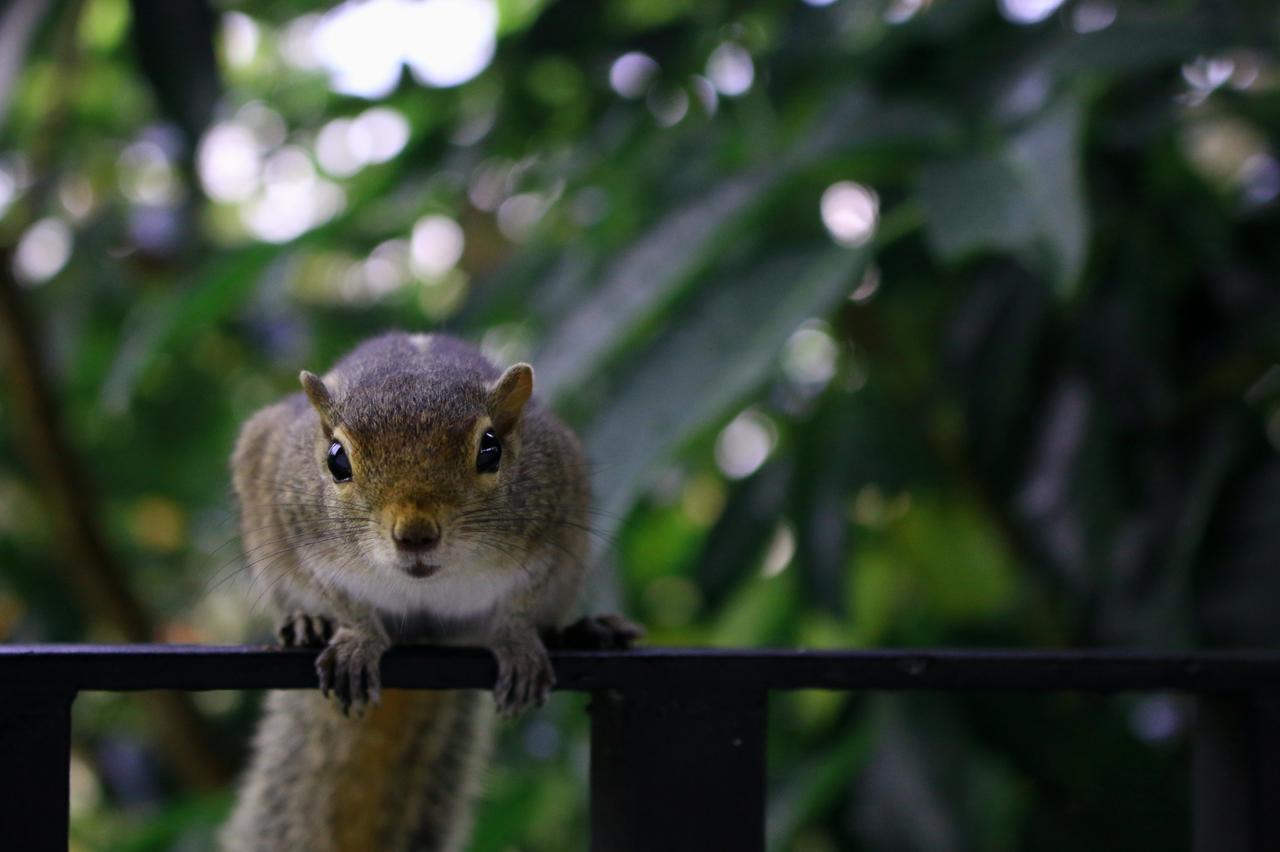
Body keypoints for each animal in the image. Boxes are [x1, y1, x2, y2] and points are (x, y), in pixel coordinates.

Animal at [221, 332, 645, 849]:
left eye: (490, 450)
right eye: (336, 459)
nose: (416, 534)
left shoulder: (552, 528)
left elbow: (523, 604)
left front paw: (518, 644)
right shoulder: (301, 533)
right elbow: (341, 597)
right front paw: (357, 639)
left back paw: (585, 631)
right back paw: (307, 623)